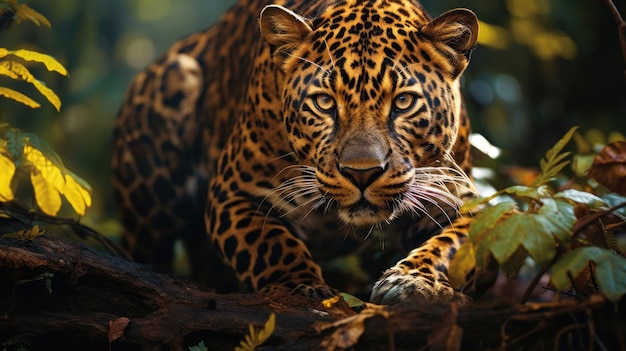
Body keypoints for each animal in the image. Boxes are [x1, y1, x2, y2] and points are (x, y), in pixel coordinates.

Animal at [112, 0, 478, 306]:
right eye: (325, 102)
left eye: (403, 102)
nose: (361, 172)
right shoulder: (233, 193)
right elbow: (272, 244)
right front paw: (301, 287)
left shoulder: (462, 197)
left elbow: (453, 245)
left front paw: (416, 281)